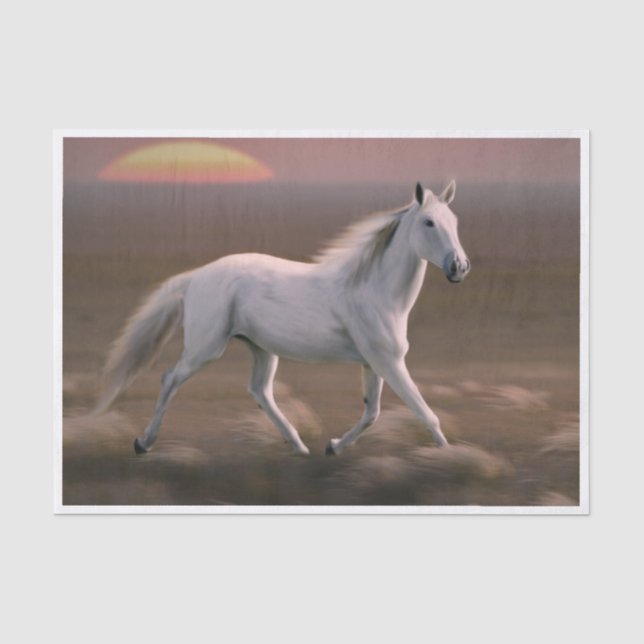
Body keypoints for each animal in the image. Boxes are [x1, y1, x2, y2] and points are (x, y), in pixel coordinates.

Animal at [95, 180, 471, 456]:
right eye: (428, 222)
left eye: (455, 222)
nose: (459, 267)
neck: (374, 290)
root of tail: (196, 276)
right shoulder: (389, 363)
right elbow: (425, 413)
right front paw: (448, 454)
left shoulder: (374, 363)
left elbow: (372, 412)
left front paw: (333, 447)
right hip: (206, 348)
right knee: (170, 379)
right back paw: (143, 443)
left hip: (261, 348)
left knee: (260, 391)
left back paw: (299, 446)